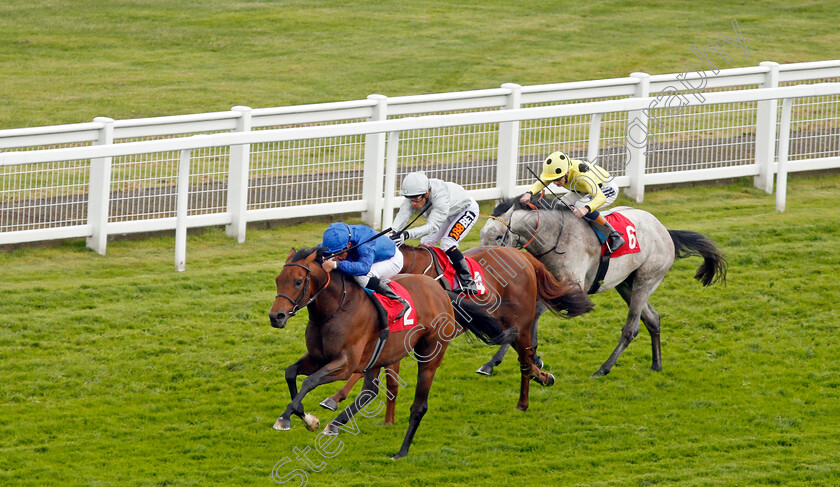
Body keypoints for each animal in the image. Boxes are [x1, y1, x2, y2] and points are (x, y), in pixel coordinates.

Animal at [270, 248, 508, 462]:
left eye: (298, 281)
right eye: (277, 280)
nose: (276, 316)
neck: (336, 308)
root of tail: (441, 291)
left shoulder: (345, 364)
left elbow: (310, 381)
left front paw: (285, 418)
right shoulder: (317, 358)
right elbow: (291, 373)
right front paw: (307, 418)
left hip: (430, 355)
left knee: (418, 406)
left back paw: (401, 452)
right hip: (379, 355)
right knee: (370, 390)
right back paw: (335, 424)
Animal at [318, 244, 592, 416]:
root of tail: (522, 255)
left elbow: (362, 368)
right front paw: (335, 397)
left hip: (519, 321)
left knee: (525, 357)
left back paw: (523, 402)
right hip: (504, 323)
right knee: (524, 354)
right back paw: (540, 376)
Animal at [476, 196, 724, 380]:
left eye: (498, 236)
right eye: (481, 234)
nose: (481, 264)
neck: (555, 237)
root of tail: (664, 230)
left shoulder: (572, 287)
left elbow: (534, 313)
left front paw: (527, 357)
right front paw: (496, 362)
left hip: (646, 280)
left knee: (631, 328)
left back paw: (603, 369)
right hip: (626, 284)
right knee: (652, 319)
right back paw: (656, 365)